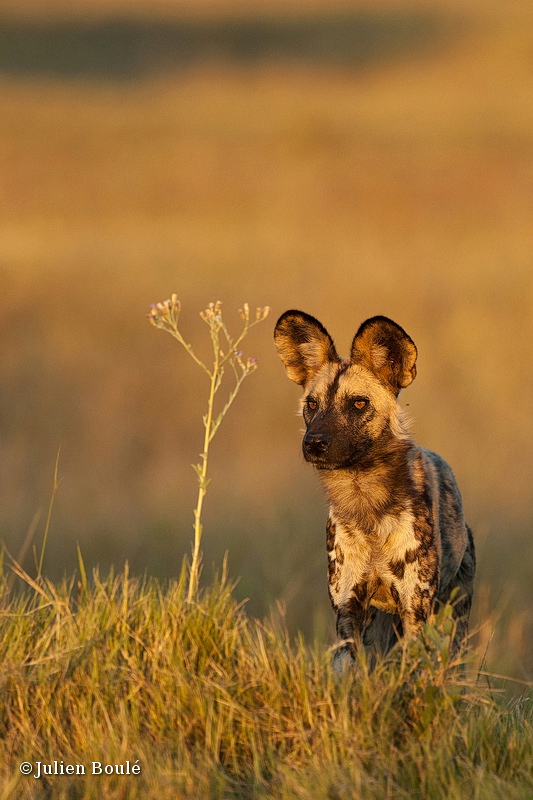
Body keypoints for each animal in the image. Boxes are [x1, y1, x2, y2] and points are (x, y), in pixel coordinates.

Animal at [274, 312, 474, 668]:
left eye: (358, 403)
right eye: (312, 404)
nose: (314, 443)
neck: (364, 500)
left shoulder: (414, 613)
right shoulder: (347, 613)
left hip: (452, 621)